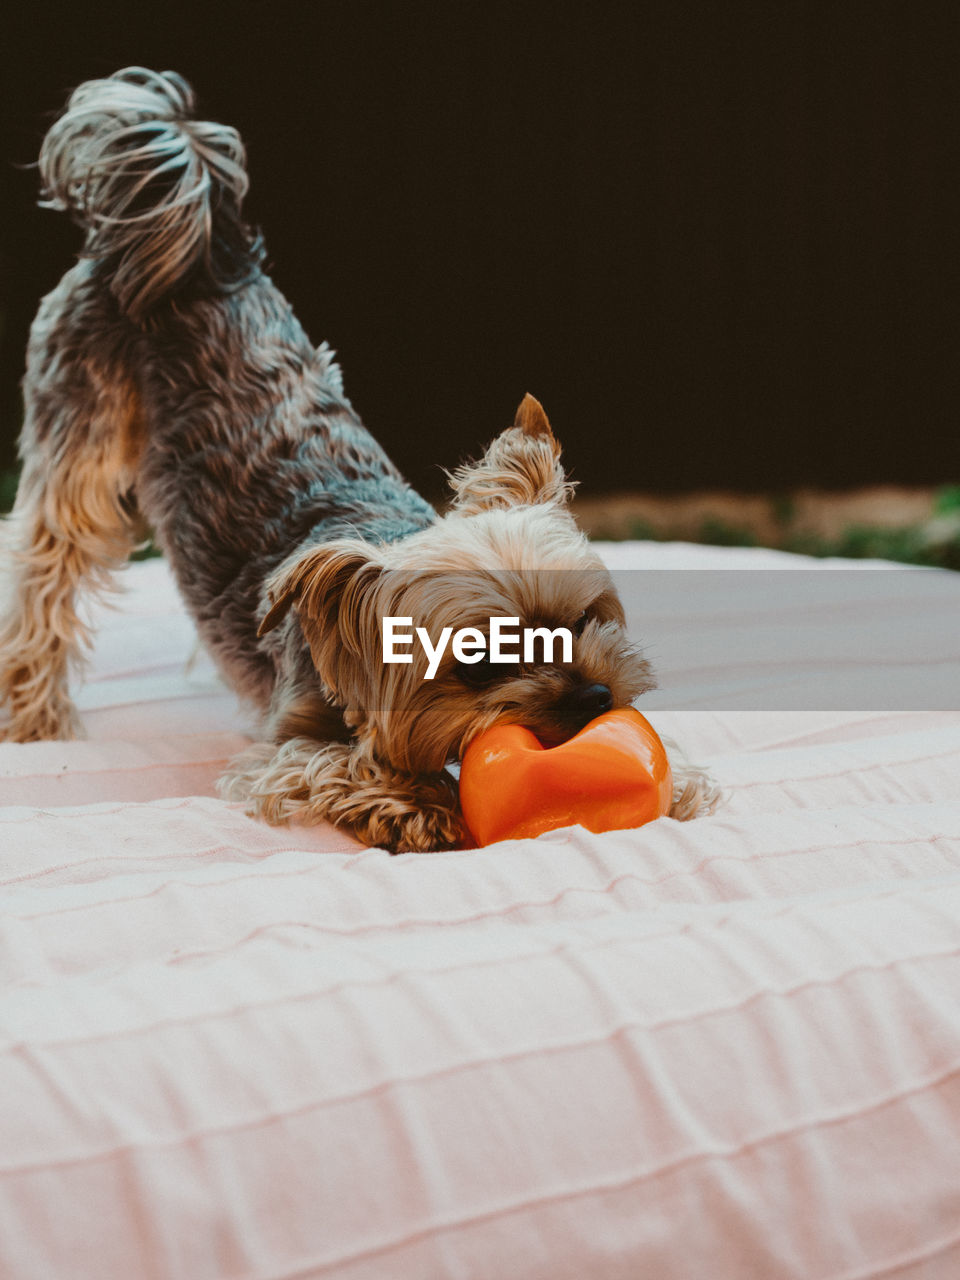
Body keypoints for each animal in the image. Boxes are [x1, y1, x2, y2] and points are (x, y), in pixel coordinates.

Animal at [0, 67, 721, 849]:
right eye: (479, 665)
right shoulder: (282, 747)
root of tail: (200, 252)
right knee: (46, 579)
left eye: (586, 621)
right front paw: (417, 803)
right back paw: (35, 721)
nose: (595, 695)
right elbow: (331, 765)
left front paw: (682, 781)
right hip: (77, 437)